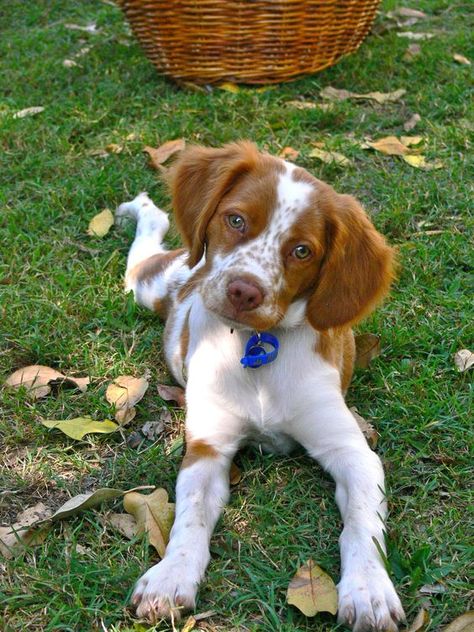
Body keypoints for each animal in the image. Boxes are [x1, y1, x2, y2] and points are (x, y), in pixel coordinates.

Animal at [115, 143, 404, 632]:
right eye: (235, 220)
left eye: (302, 250)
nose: (243, 291)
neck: (257, 348)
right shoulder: (208, 448)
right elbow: (190, 517)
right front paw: (170, 577)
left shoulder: (351, 453)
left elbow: (362, 523)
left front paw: (369, 590)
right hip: (148, 285)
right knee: (144, 252)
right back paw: (144, 209)